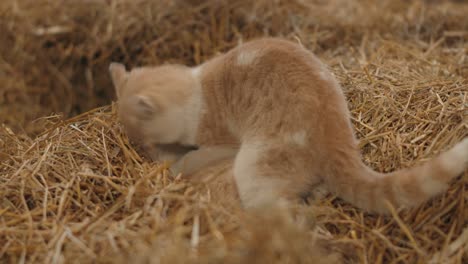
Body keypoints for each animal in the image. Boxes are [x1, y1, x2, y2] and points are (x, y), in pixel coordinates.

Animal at [110, 37, 468, 213]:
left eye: (145, 142)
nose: (146, 154)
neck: (195, 88)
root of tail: (337, 139)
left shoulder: (221, 141)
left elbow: (195, 155)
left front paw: (176, 164)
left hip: (254, 169)